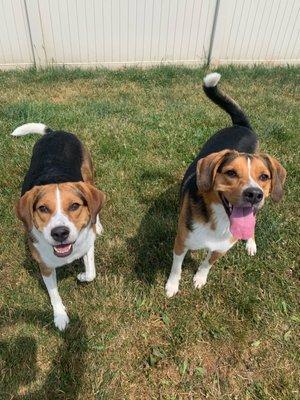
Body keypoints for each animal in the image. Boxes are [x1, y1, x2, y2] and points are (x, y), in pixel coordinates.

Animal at [13, 123, 106, 330]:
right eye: (43, 208)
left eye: (74, 206)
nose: (60, 233)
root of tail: (55, 133)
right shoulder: (45, 265)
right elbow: (54, 293)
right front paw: (60, 316)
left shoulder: (87, 242)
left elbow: (91, 273)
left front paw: (82, 276)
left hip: (88, 175)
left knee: (95, 208)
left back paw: (98, 223)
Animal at [165, 72, 288, 298]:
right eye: (231, 173)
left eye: (264, 176)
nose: (254, 194)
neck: (219, 220)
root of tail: (242, 125)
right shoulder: (181, 241)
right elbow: (176, 267)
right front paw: (171, 286)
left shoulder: (221, 248)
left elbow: (207, 264)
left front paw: (199, 278)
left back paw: (250, 243)